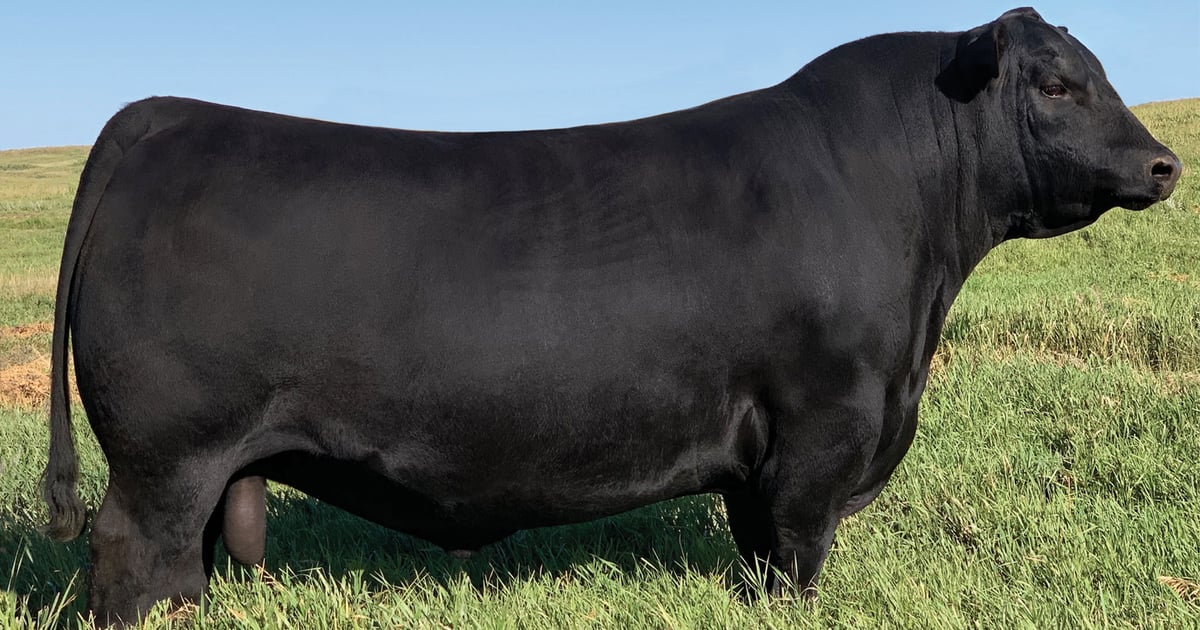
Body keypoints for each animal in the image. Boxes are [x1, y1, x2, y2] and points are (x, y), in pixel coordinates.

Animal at [42, 7, 1180, 624]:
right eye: (1057, 83)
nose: (1165, 163)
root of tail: (165, 114)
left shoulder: (769, 450)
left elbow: (755, 547)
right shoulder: (823, 427)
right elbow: (794, 557)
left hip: (203, 465)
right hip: (165, 456)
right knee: (132, 560)